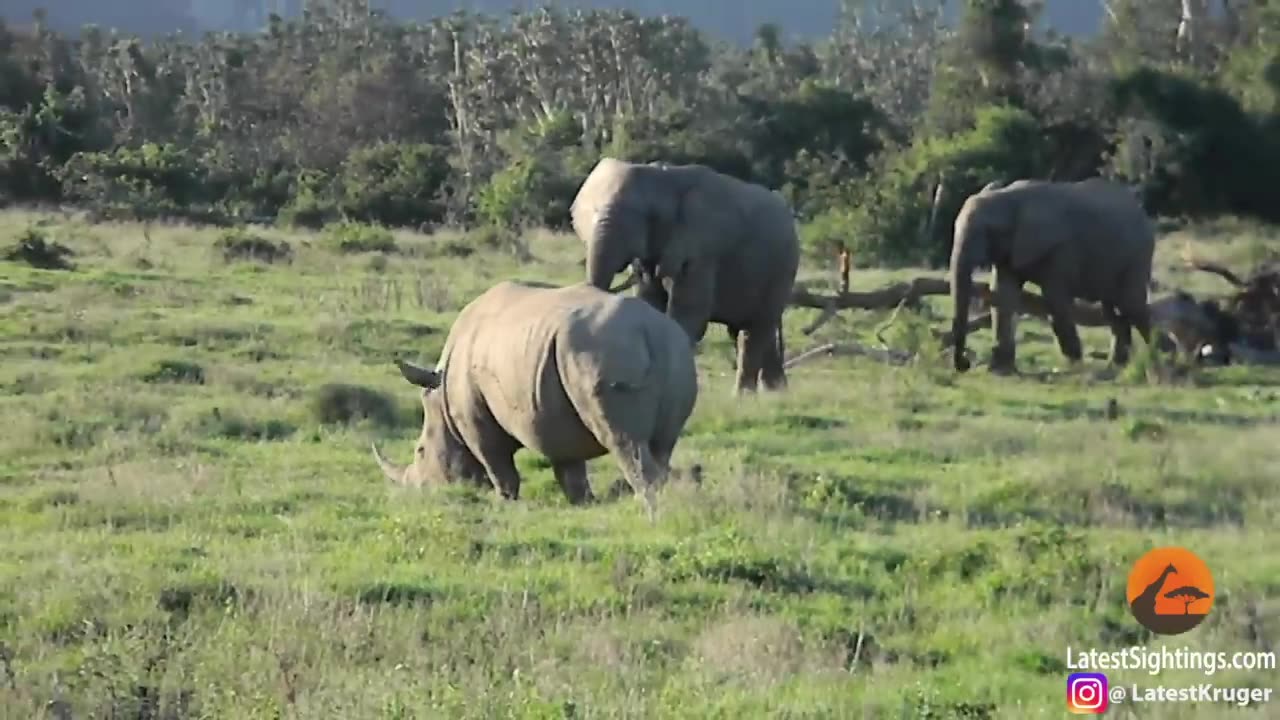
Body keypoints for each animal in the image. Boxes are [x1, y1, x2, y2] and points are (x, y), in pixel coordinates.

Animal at [368, 278, 701, 517]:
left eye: (421, 451)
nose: (418, 494)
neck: (442, 396)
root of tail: (650, 330)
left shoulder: (476, 422)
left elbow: (498, 465)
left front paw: (503, 504)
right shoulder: (555, 417)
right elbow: (569, 467)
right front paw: (583, 504)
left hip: (605, 352)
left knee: (625, 442)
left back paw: (646, 509)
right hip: (671, 356)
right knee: (661, 444)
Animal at [573, 154, 798, 394]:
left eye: (649, 216)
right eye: (593, 211)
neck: (664, 177)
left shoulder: (702, 248)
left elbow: (688, 314)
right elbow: (650, 304)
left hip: (782, 267)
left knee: (755, 330)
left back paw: (745, 396)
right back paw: (775, 393)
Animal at [947, 176, 1157, 371]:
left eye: (988, 232)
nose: (965, 364)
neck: (1008, 198)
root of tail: (1142, 213)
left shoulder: (1060, 250)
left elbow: (1055, 299)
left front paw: (1075, 364)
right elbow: (1003, 295)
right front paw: (1000, 368)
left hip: (1138, 255)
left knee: (1132, 305)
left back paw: (1156, 358)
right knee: (1112, 310)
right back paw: (1118, 365)